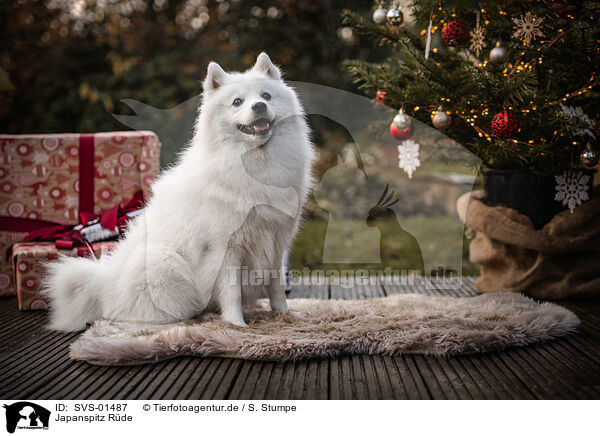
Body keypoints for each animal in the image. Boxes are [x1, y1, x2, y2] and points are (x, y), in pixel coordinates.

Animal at [44, 52, 314, 330]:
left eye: (266, 96)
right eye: (237, 102)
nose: (259, 106)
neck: (255, 163)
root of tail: (103, 284)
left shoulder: (275, 241)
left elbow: (276, 285)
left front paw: (284, 315)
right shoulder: (226, 248)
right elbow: (232, 291)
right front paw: (236, 324)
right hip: (164, 262)